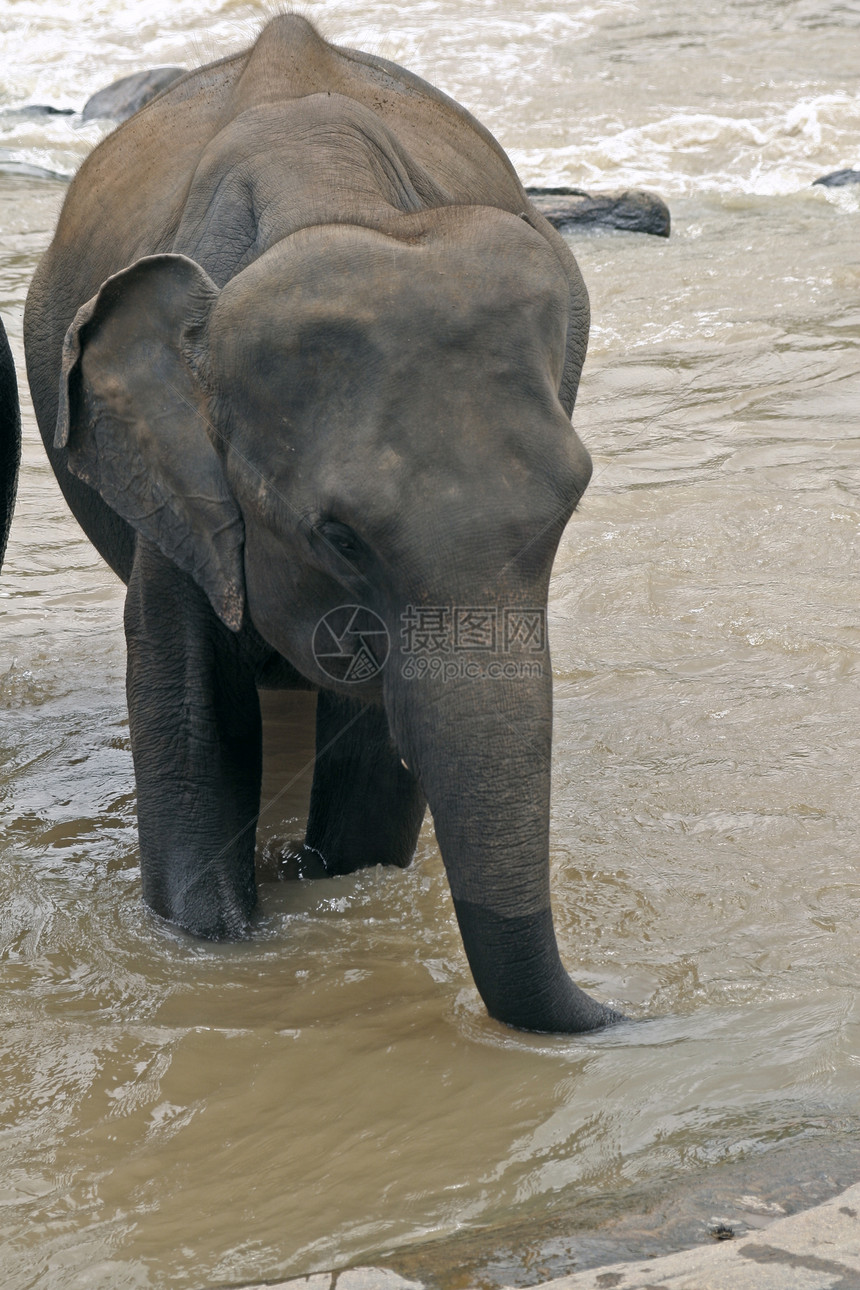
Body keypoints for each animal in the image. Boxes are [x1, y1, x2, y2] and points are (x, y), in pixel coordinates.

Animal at [25, 15, 618, 1032]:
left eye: (569, 506)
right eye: (337, 538)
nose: (617, 1011)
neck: (333, 196)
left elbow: (373, 743)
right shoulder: (176, 481)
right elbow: (187, 707)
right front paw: (220, 943)